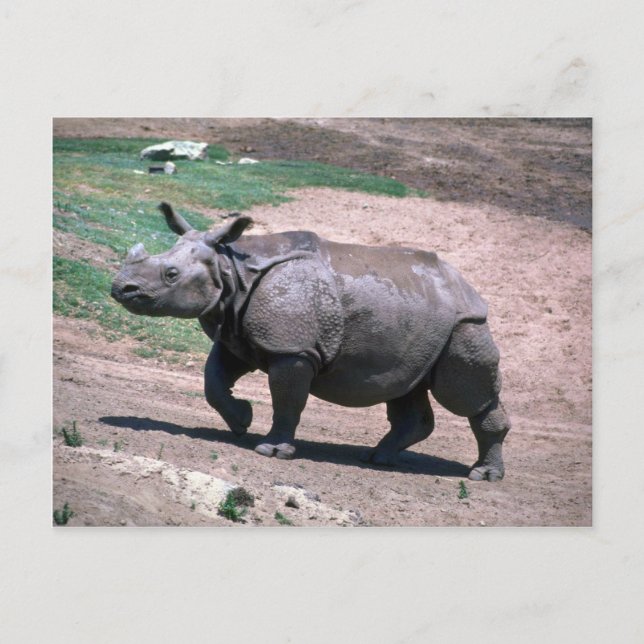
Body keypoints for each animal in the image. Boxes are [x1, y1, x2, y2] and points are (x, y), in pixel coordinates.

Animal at [111, 202, 511, 481]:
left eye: (170, 274)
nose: (120, 288)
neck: (231, 269)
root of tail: (468, 287)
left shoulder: (292, 349)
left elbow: (287, 399)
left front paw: (270, 450)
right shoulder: (239, 332)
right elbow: (214, 380)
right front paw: (241, 421)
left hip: (466, 324)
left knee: (462, 395)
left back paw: (482, 476)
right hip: (423, 324)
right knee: (407, 386)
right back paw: (378, 459)